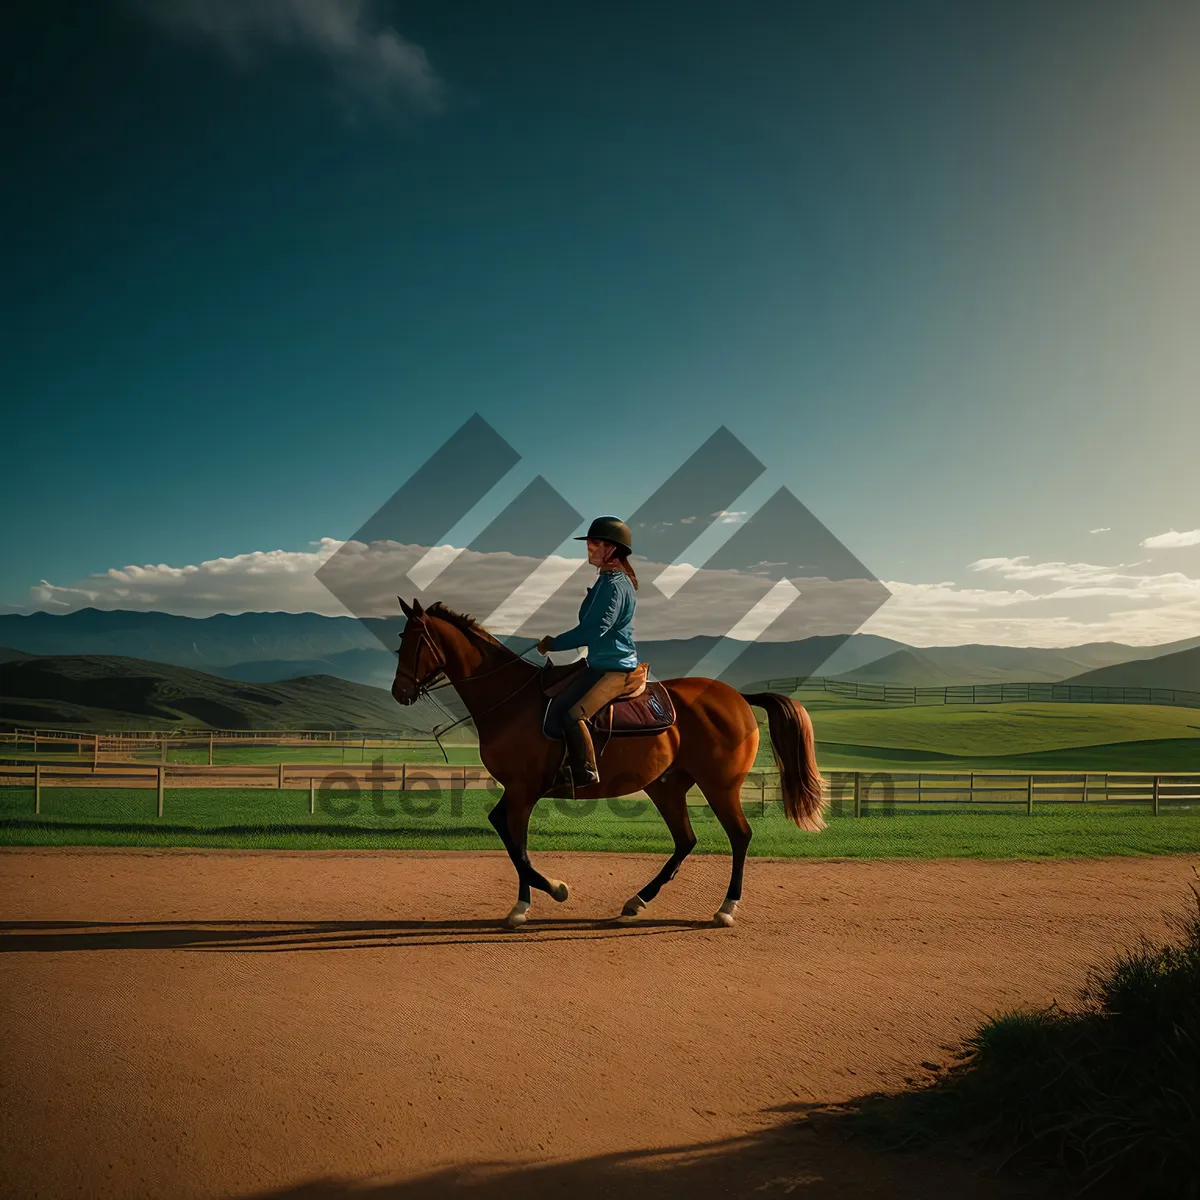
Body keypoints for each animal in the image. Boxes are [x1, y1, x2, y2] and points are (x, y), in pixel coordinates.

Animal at [388, 600, 820, 926]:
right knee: (686, 840)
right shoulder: (518, 790)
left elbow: (516, 843)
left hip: (719, 786)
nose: (399, 692)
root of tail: (738, 697)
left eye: (414, 641)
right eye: (400, 641)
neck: (511, 699)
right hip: (667, 786)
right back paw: (638, 900)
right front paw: (527, 903)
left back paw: (726, 909)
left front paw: (550, 892)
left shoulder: (524, 789)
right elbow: (511, 838)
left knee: (740, 836)